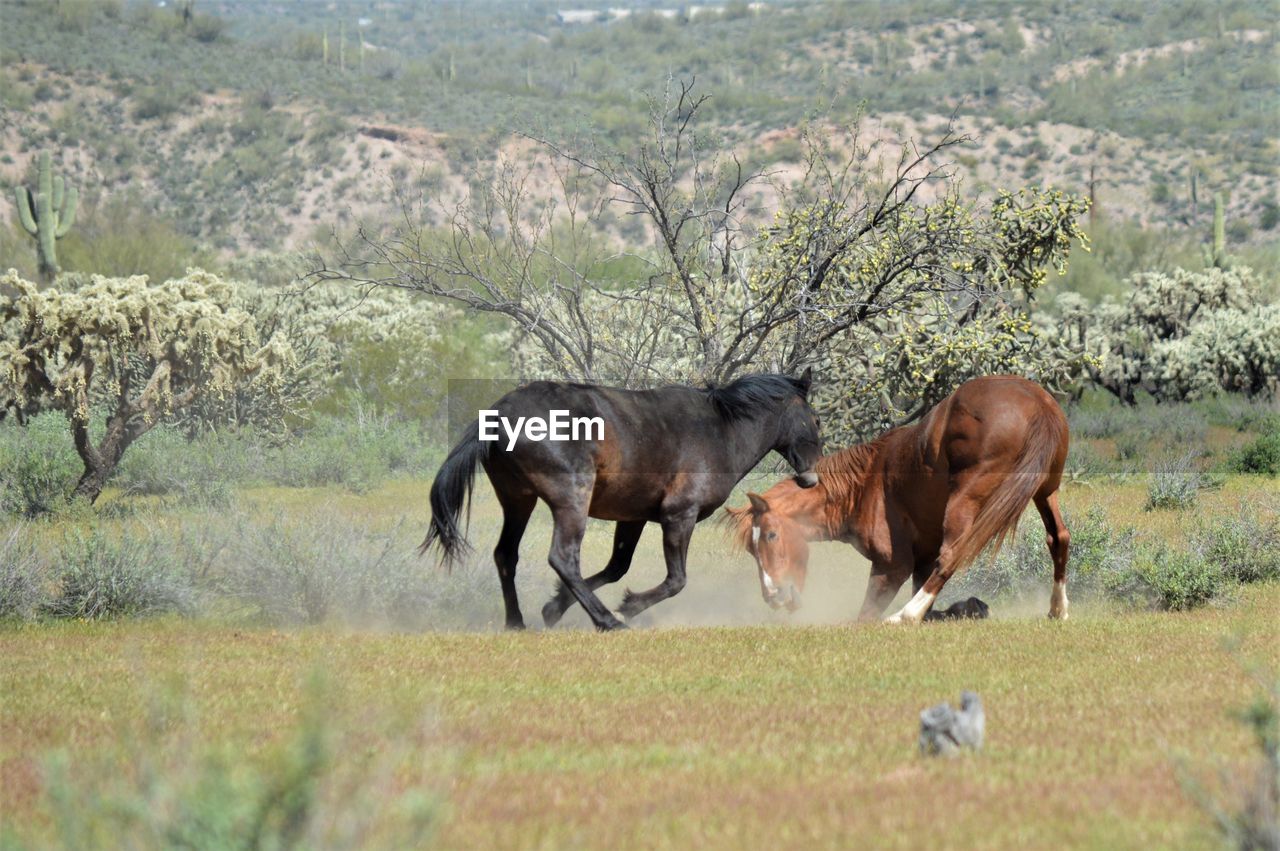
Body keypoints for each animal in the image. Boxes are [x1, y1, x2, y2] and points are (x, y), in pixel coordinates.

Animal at [419, 371, 819, 629]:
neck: (721, 430)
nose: (811, 478)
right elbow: (676, 579)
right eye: (814, 417)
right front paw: (628, 607)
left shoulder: (633, 517)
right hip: (571, 501)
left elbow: (616, 567)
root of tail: (499, 414)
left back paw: (516, 622)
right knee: (563, 557)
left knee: (506, 554)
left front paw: (553, 607)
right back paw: (607, 621)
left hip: (518, 501)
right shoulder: (679, 515)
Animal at [732, 376, 1070, 621]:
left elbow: (865, 616)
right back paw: (1057, 609)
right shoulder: (920, 564)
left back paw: (905, 616)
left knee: (953, 554)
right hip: (1045, 492)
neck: (861, 487)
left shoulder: (890, 568)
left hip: (966, 498)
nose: (773, 596)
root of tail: (1038, 404)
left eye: (771, 535)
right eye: (751, 547)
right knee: (1059, 538)